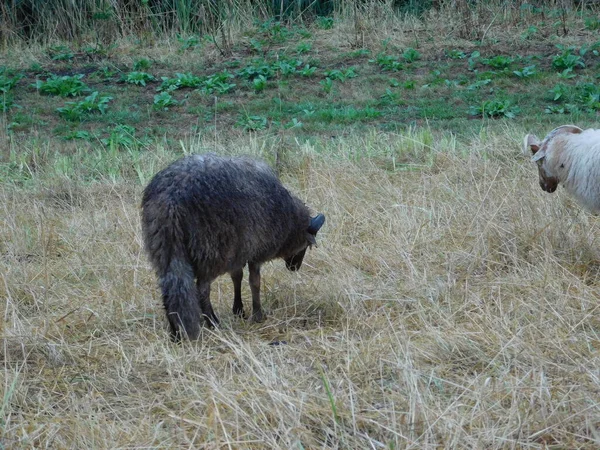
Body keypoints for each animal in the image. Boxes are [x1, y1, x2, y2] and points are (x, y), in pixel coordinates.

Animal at [141, 155, 326, 342]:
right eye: (306, 245)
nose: (294, 267)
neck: (288, 219)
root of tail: (171, 198)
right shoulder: (255, 250)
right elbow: (254, 282)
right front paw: (257, 315)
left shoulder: (239, 249)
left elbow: (236, 277)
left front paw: (239, 310)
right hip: (210, 250)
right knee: (202, 289)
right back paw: (213, 322)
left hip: (164, 247)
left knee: (170, 289)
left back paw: (176, 333)